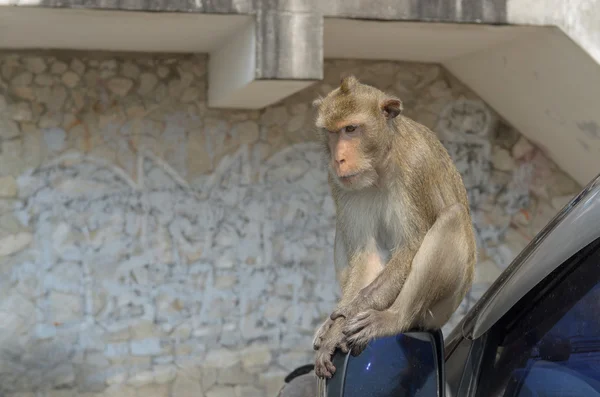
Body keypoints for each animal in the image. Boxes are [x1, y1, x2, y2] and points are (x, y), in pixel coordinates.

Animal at [312, 75, 476, 378]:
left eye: (350, 129)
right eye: (331, 132)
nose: (338, 159)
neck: (381, 163)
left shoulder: (416, 166)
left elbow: (411, 246)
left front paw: (342, 324)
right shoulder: (337, 183)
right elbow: (366, 255)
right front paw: (337, 322)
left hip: (442, 308)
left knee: (453, 218)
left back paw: (392, 319)